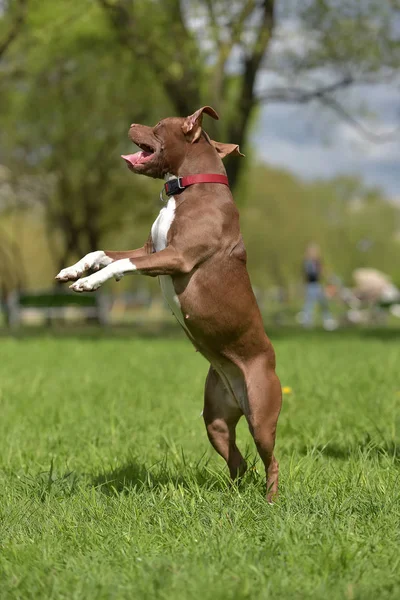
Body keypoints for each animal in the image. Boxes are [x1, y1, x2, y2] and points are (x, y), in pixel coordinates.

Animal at [55, 105, 282, 500]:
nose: (132, 122)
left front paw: (88, 281)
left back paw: (270, 502)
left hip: (262, 415)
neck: (187, 187)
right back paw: (234, 497)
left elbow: (118, 265)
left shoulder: (175, 257)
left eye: (159, 125)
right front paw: (74, 270)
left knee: (271, 462)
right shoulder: (150, 251)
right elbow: (101, 252)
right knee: (238, 460)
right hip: (215, 420)